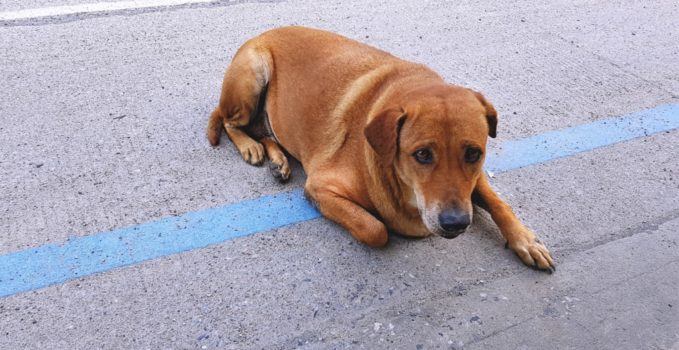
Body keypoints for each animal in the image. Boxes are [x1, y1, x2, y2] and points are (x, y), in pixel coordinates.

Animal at [209, 27, 556, 272]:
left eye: (473, 153)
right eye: (422, 155)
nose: (455, 223)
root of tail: (260, 34)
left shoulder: (472, 180)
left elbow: (498, 202)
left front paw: (525, 239)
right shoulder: (322, 186)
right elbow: (375, 229)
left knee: (266, 132)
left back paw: (278, 160)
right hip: (252, 76)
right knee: (228, 121)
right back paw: (250, 147)